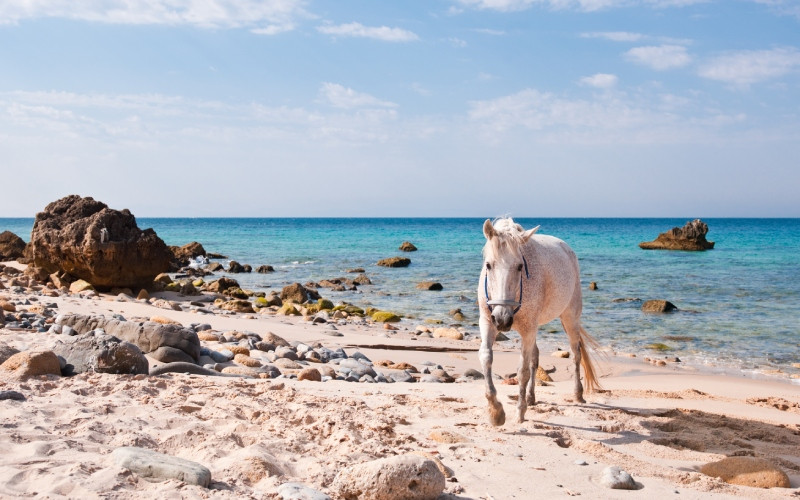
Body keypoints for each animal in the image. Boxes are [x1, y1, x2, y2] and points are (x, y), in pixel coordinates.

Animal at [478, 217, 596, 424]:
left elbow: (522, 371)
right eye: (488, 265)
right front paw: (495, 411)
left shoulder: (527, 330)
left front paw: (519, 412)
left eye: (519, 266)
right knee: (536, 358)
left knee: (576, 354)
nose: (502, 319)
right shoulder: (487, 322)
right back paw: (531, 397)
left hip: (570, 319)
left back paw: (578, 394)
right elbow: (486, 358)